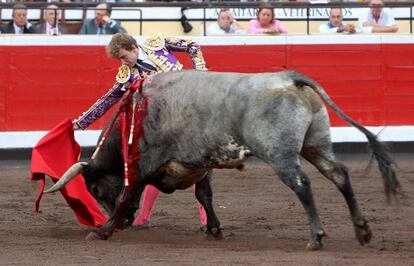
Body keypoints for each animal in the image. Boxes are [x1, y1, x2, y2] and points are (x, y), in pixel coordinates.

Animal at [43, 70, 400, 249]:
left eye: (96, 190)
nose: (127, 225)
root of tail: (289, 78)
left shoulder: (143, 163)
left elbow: (128, 196)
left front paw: (103, 231)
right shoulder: (201, 163)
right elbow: (205, 195)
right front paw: (213, 229)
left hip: (280, 154)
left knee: (302, 185)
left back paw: (316, 237)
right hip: (316, 144)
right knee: (339, 174)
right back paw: (362, 230)